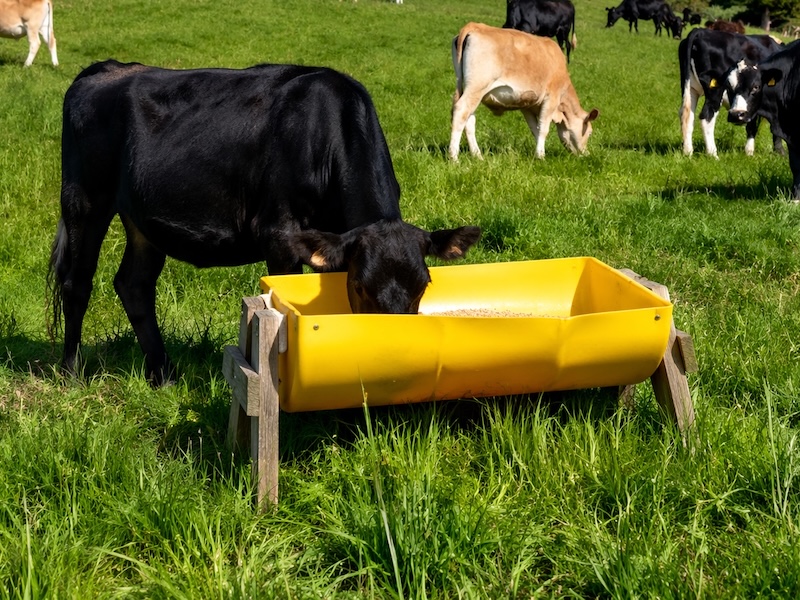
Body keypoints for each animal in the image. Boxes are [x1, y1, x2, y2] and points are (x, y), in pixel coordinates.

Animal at [49, 60, 482, 385]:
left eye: (423, 285)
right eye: (361, 285)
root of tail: (106, 67)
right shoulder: (280, 234)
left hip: (143, 220)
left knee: (133, 284)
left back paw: (165, 376)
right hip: (84, 197)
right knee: (76, 283)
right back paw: (71, 373)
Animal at [448, 23, 598, 160]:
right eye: (590, 132)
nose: (586, 154)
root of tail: (475, 26)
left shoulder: (527, 105)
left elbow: (535, 129)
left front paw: (538, 152)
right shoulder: (551, 98)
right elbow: (543, 129)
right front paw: (541, 156)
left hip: (467, 88)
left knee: (469, 120)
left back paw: (477, 155)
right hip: (477, 87)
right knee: (461, 111)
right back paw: (454, 157)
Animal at [678, 27, 784, 157]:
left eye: (755, 87)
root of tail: (701, 31)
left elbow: (752, 124)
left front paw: (749, 152)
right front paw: (778, 152)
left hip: (689, 87)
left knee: (686, 114)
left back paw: (687, 152)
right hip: (715, 91)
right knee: (707, 116)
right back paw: (713, 155)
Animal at [726, 41, 800, 198]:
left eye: (756, 87)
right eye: (728, 87)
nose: (736, 114)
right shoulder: (791, 133)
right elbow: (796, 165)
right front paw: (796, 198)